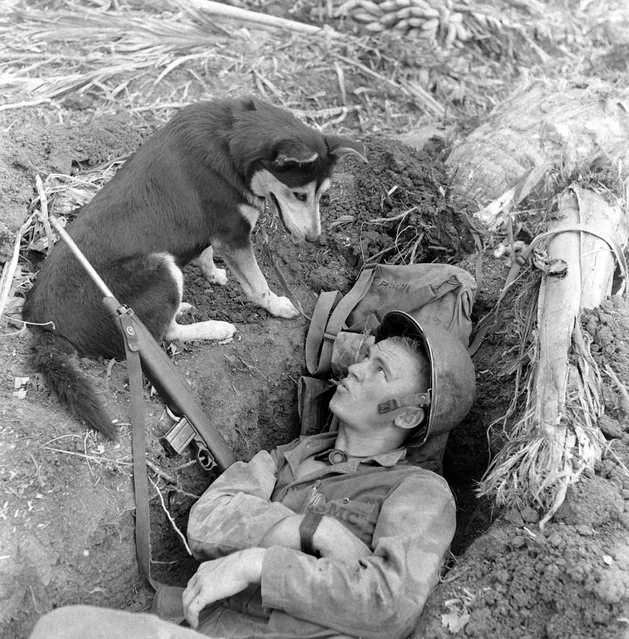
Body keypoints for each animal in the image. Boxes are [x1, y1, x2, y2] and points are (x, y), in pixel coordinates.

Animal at [23, 96, 364, 440]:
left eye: (322, 194)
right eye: (300, 194)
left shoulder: (216, 231)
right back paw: (216, 327)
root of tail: (45, 326)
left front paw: (213, 274)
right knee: (167, 333)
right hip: (161, 268)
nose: (314, 238)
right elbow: (257, 284)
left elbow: (207, 252)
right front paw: (278, 305)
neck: (232, 142)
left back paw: (185, 306)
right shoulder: (234, 235)